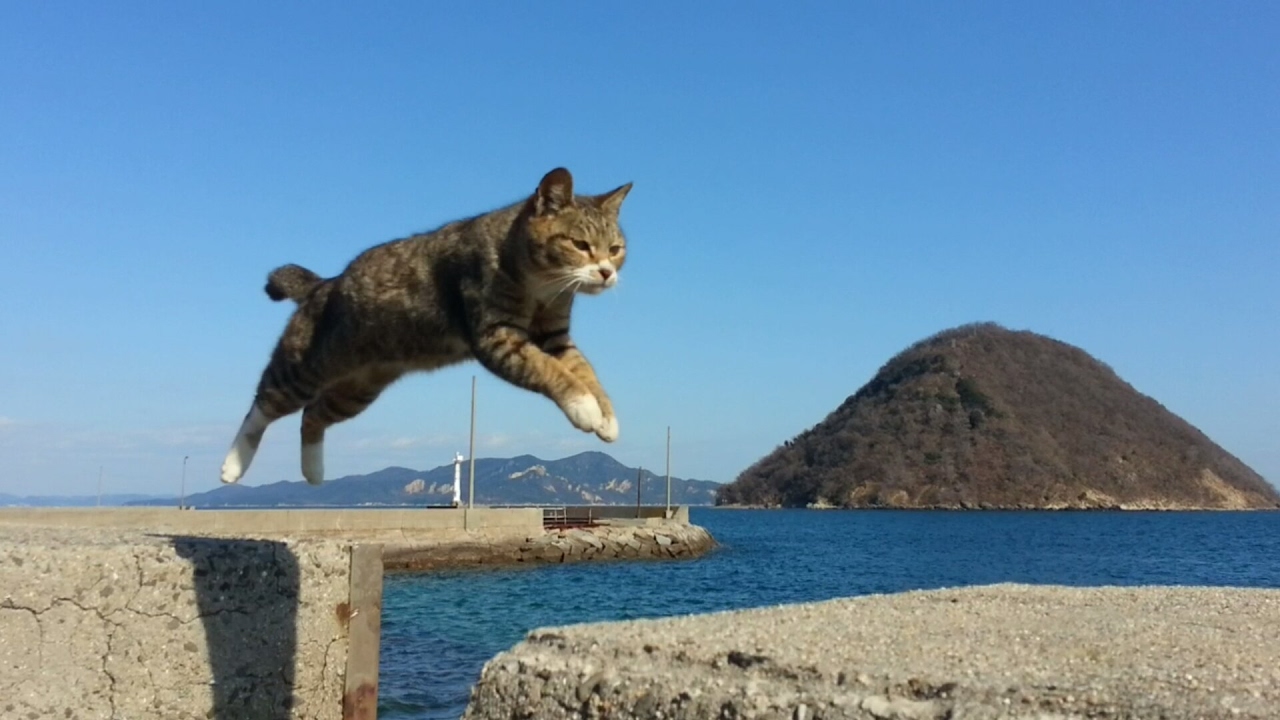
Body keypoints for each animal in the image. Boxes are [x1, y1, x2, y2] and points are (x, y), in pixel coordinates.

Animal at [225, 165, 634, 484]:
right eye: (580, 245)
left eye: (615, 249)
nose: (606, 272)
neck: (542, 286)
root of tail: (323, 284)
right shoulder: (497, 335)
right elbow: (551, 370)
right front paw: (583, 406)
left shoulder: (554, 335)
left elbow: (584, 370)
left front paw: (606, 415)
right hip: (310, 363)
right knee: (265, 402)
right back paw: (233, 464)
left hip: (357, 389)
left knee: (312, 415)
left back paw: (313, 470)